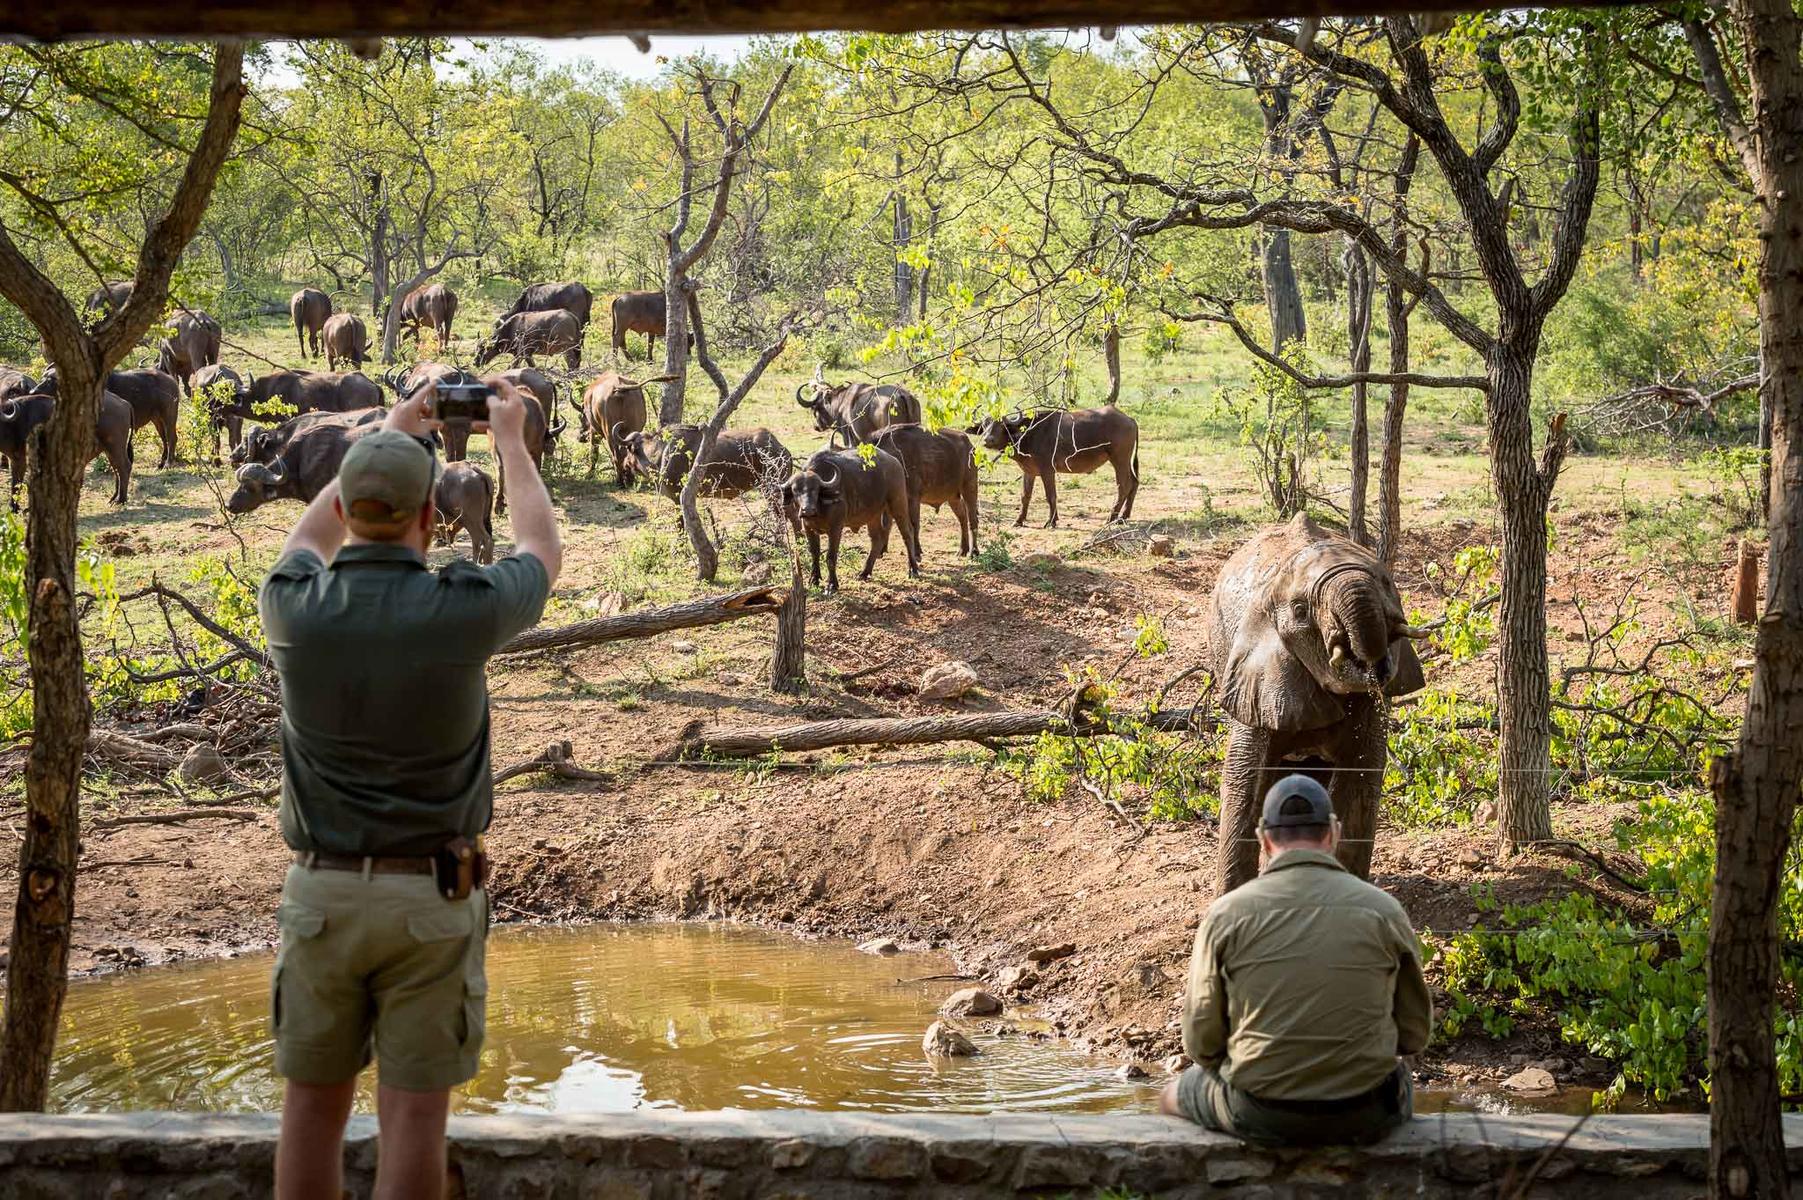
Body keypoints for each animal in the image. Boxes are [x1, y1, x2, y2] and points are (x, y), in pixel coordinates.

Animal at [0, 391, 135, 506]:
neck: (13, 424)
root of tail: (125, 403)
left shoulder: (22, 459)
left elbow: (17, 483)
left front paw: (15, 507)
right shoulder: (14, 459)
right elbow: (15, 481)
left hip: (115, 446)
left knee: (124, 468)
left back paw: (120, 500)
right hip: (109, 450)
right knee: (117, 470)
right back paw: (114, 498)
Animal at [40, 366, 182, 469]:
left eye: (50, 380)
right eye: (43, 377)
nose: (35, 391)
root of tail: (172, 380)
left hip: (169, 416)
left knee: (172, 438)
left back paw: (168, 464)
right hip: (157, 419)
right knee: (164, 439)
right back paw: (161, 462)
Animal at [781, 448, 920, 593]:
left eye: (815, 489)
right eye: (795, 490)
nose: (807, 510)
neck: (820, 507)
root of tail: (896, 462)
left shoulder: (836, 527)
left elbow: (831, 556)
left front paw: (832, 585)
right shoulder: (808, 527)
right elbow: (814, 553)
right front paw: (814, 580)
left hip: (898, 504)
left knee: (907, 533)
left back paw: (913, 569)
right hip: (873, 516)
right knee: (877, 540)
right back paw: (865, 572)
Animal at [873, 423, 981, 557]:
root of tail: (970, 446)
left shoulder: (913, 498)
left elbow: (914, 524)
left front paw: (917, 551)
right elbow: (886, 523)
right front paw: (882, 550)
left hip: (969, 488)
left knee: (972, 519)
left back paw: (973, 551)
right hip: (953, 497)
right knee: (963, 517)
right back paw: (962, 549)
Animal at [970, 404, 1140, 528]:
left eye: (1001, 425)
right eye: (985, 425)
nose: (988, 440)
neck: (1029, 434)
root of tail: (1130, 419)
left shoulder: (1048, 471)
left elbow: (1050, 495)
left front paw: (1051, 521)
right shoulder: (1029, 471)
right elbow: (1025, 496)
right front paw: (1019, 520)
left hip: (1119, 460)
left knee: (1124, 485)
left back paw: (1111, 517)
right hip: (1125, 461)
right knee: (1134, 482)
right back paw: (1123, 516)